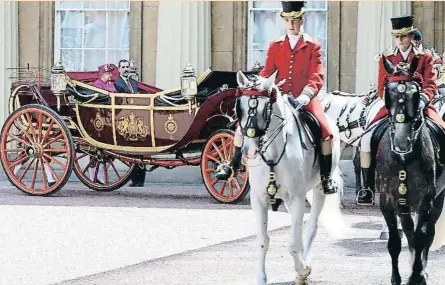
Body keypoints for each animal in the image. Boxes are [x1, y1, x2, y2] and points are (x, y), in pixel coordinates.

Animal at [236, 69, 346, 284]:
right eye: (241, 107)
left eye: (264, 108)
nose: (249, 151)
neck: (273, 151)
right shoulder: (259, 199)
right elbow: (263, 240)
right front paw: (261, 278)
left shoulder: (296, 197)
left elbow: (293, 243)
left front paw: (303, 270)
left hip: (318, 190)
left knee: (311, 226)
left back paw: (304, 263)